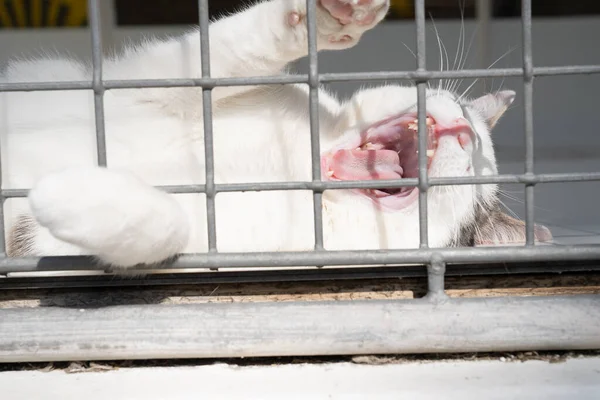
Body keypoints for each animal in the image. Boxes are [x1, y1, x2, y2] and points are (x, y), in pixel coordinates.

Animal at [1, 0, 552, 270]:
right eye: (466, 113)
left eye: (477, 212)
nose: (466, 133)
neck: (292, 166)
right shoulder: (156, 81)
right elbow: (230, 48)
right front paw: (328, 17)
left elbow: (164, 228)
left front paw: (66, 194)